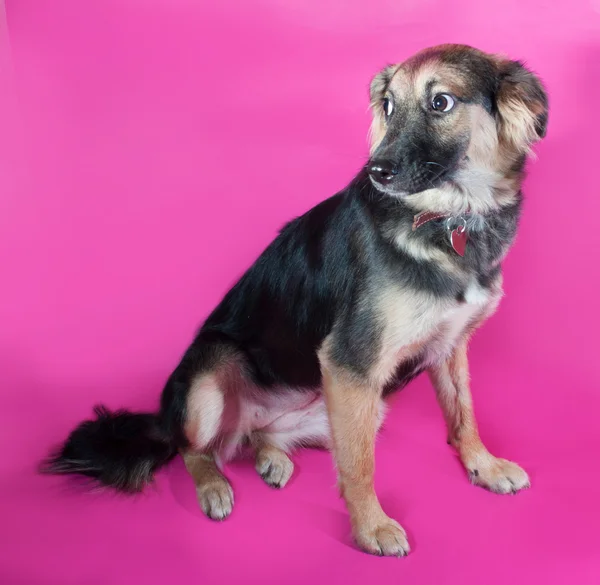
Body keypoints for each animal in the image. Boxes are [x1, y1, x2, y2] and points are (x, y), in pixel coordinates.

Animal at [43, 43, 548, 556]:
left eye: (441, 102)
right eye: (388, 106)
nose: (376, 171)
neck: (452, 216)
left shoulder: (448, 347)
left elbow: (464, 415)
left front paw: (484, 466)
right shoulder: (350, 363)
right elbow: (360, 466)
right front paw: (371, 528)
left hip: (353, 407)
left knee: (257, 437)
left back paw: (271, 458)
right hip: (212, 373)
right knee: (193, 448)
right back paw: (213, 486)